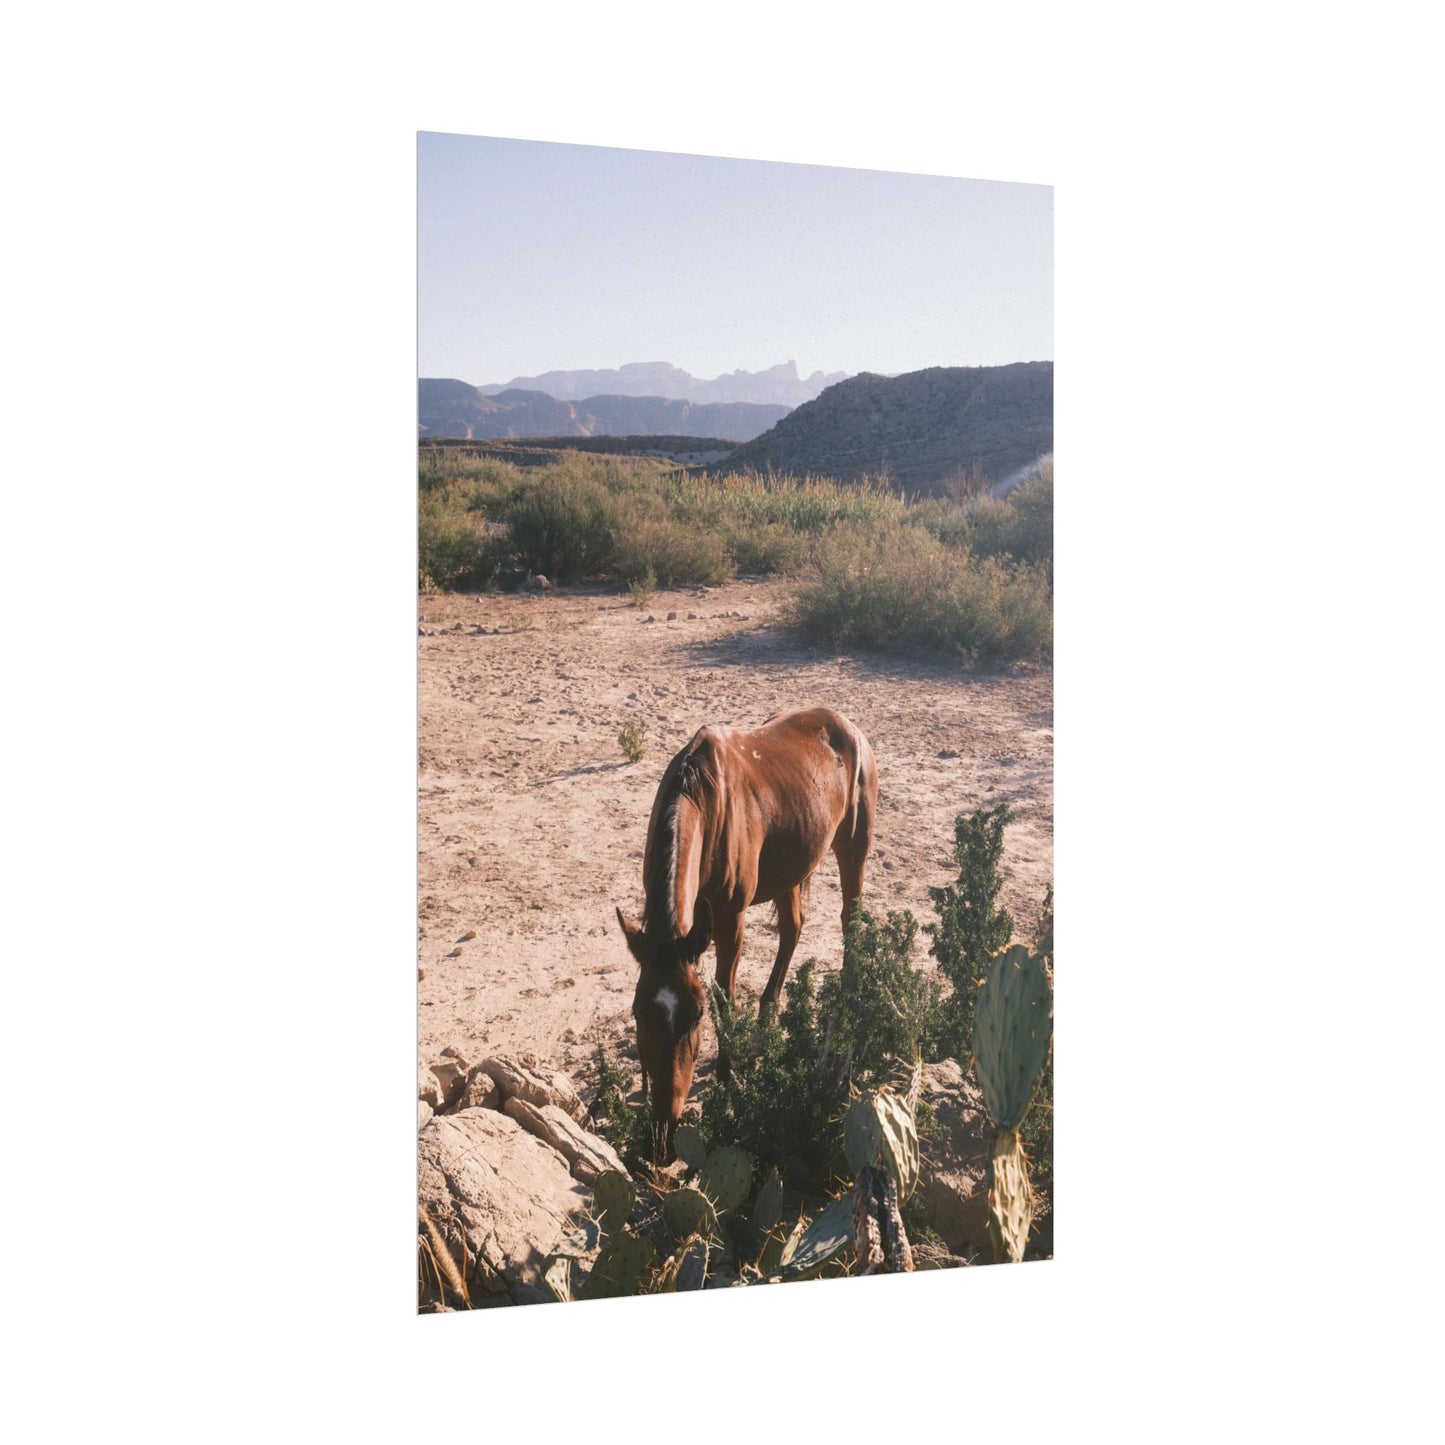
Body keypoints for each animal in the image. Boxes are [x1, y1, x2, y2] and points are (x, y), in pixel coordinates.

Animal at [615, 706, 878, 1158]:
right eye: (637, 1012)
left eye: (696, 1015)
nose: (663, 1136)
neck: (703, 800)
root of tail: (849, 727)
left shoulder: (729, 920)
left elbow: (725, 996)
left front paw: (726, 1076)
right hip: (793, 864)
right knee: (793, 929)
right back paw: (766, 1015)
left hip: (852, 850)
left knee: (850, 920)